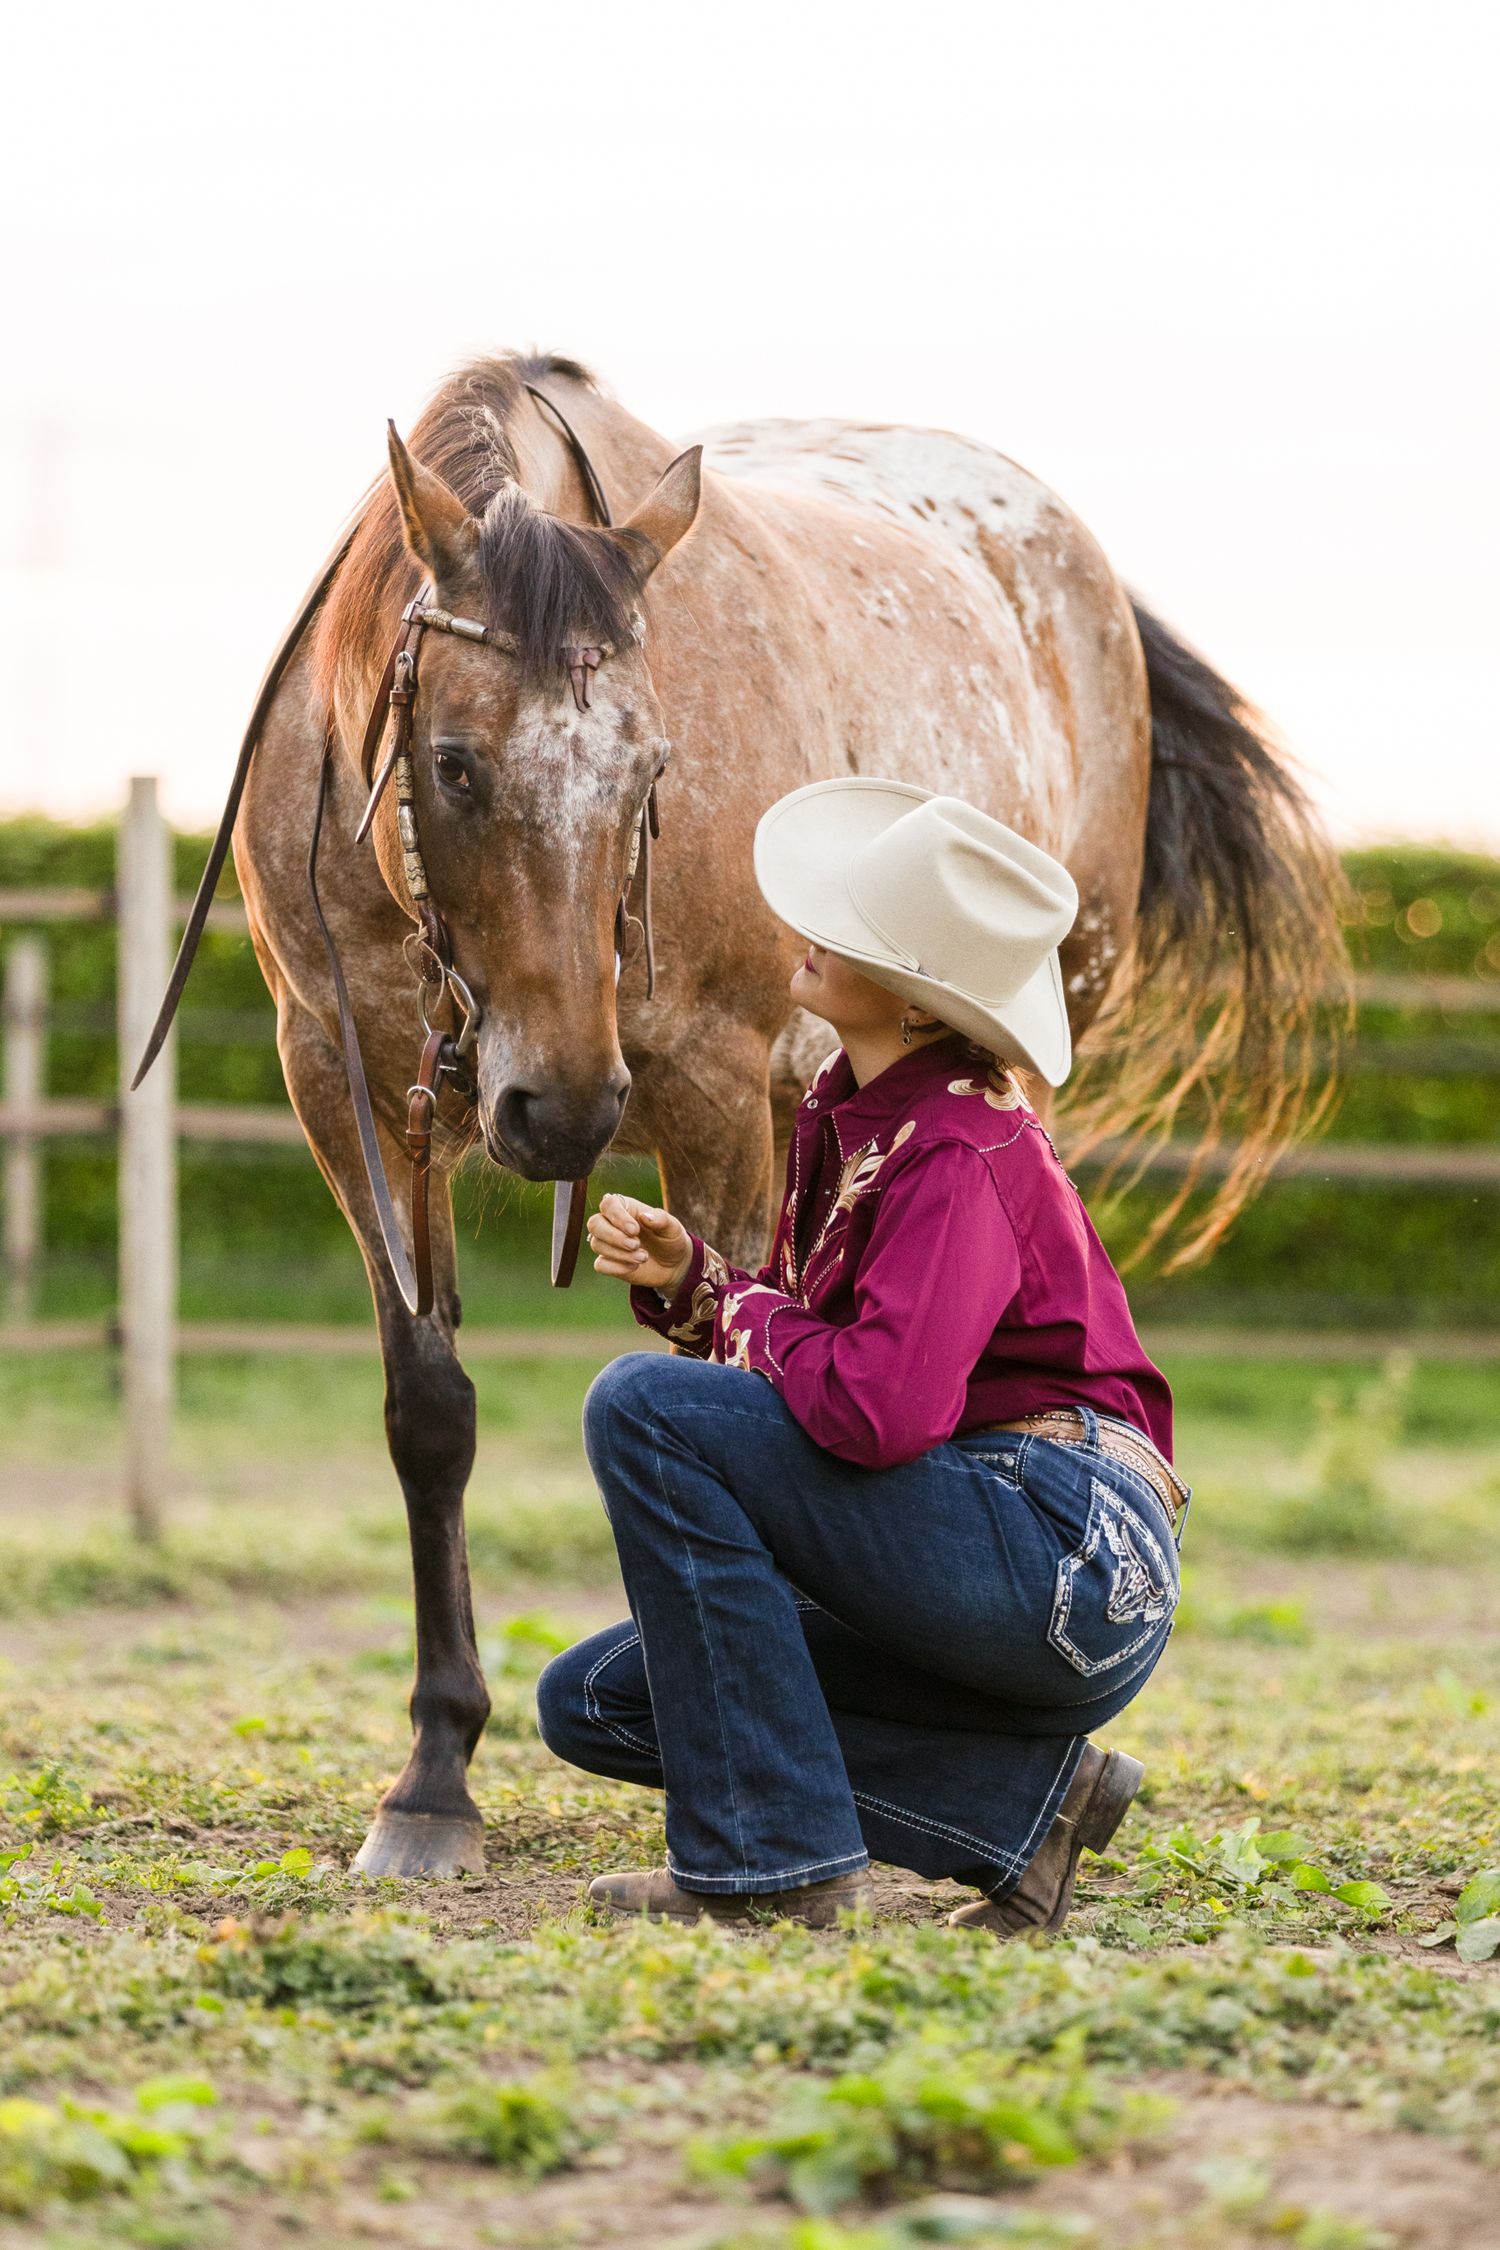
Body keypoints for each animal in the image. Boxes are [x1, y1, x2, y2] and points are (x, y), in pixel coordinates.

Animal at [229, 350, 1343, 1878]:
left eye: (653, 771)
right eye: (453, 762)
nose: (561, 1105)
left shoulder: (707, 1090)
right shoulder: (347, 1096)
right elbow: (431, 1414)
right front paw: (435, 1778)